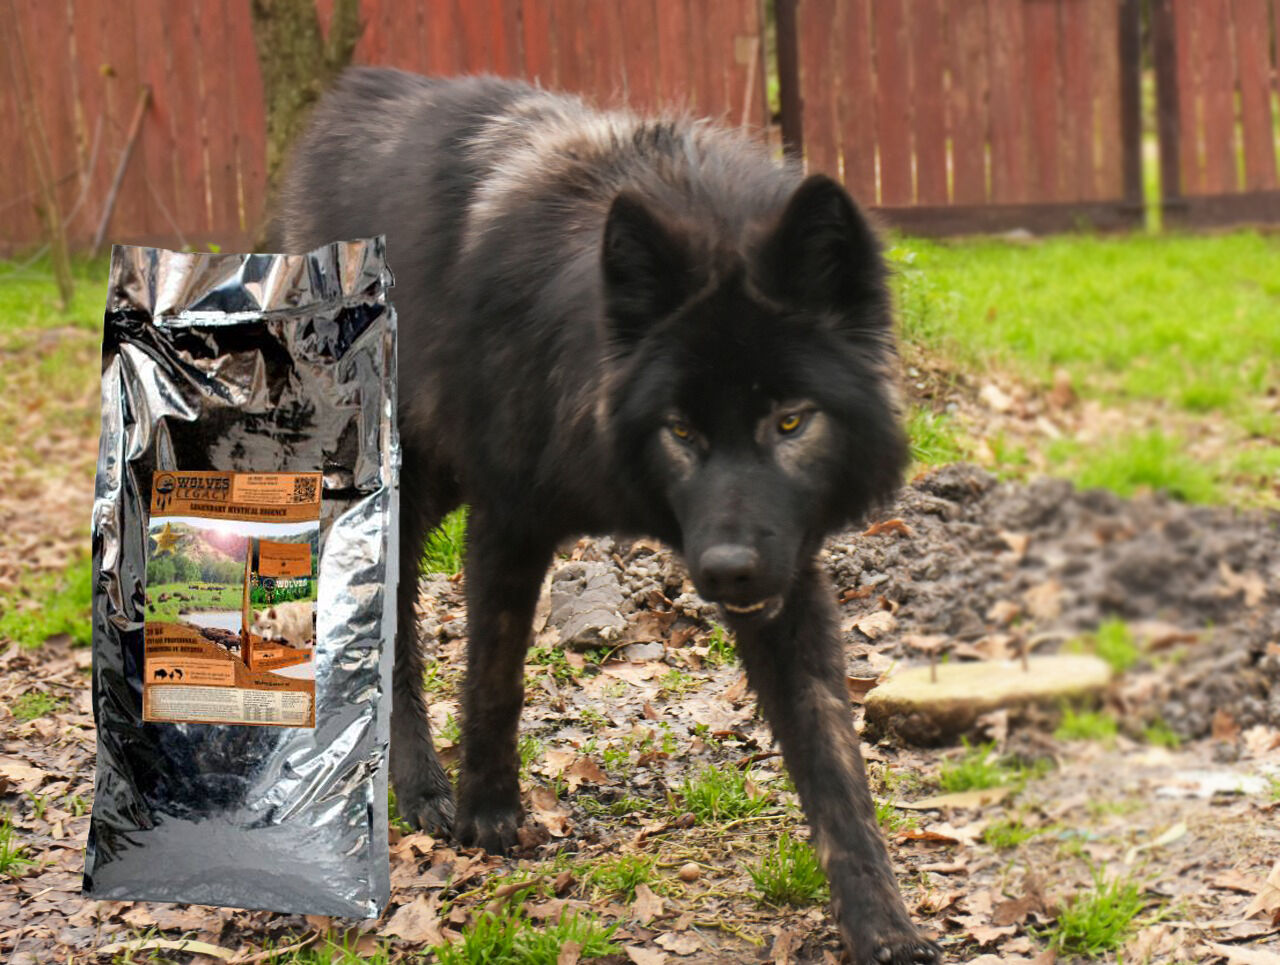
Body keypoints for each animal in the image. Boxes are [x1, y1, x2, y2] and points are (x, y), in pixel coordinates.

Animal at [278, 70, 936, 963]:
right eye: (682, 430)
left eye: (792, 421)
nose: (726, 570)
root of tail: (350, 94)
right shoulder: (510, 516)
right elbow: (494, 675)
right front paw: (489, 813)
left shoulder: (785, 568)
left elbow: (832, 754)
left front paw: (882, 922)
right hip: (405, 479)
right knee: (388, 617)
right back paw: (412, 783)